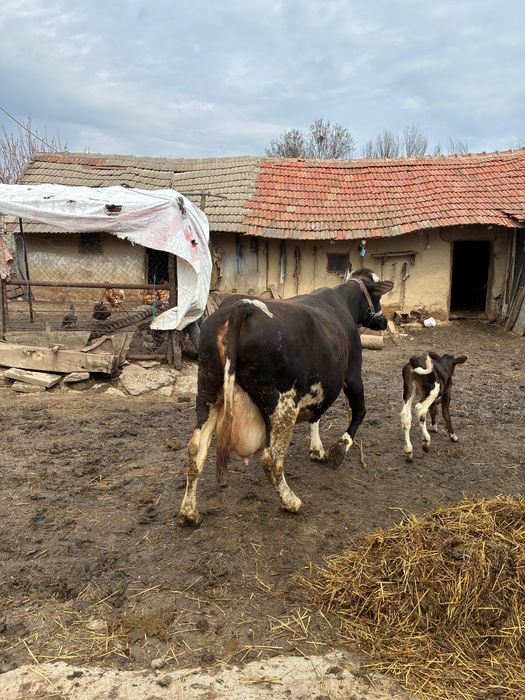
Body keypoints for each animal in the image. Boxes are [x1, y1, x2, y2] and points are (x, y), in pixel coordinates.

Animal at [177, 269, 394, 527]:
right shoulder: (351, 374)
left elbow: (316, 416)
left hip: (208, 393)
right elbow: (359, 411)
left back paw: (189, 512)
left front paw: (317, 450)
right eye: (377, 297)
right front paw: (338, 450)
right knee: (271, 458)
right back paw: (290, 501)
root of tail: (241, 306)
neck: (344, 302)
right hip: (282, 405)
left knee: (194, 449)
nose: (384, 321)